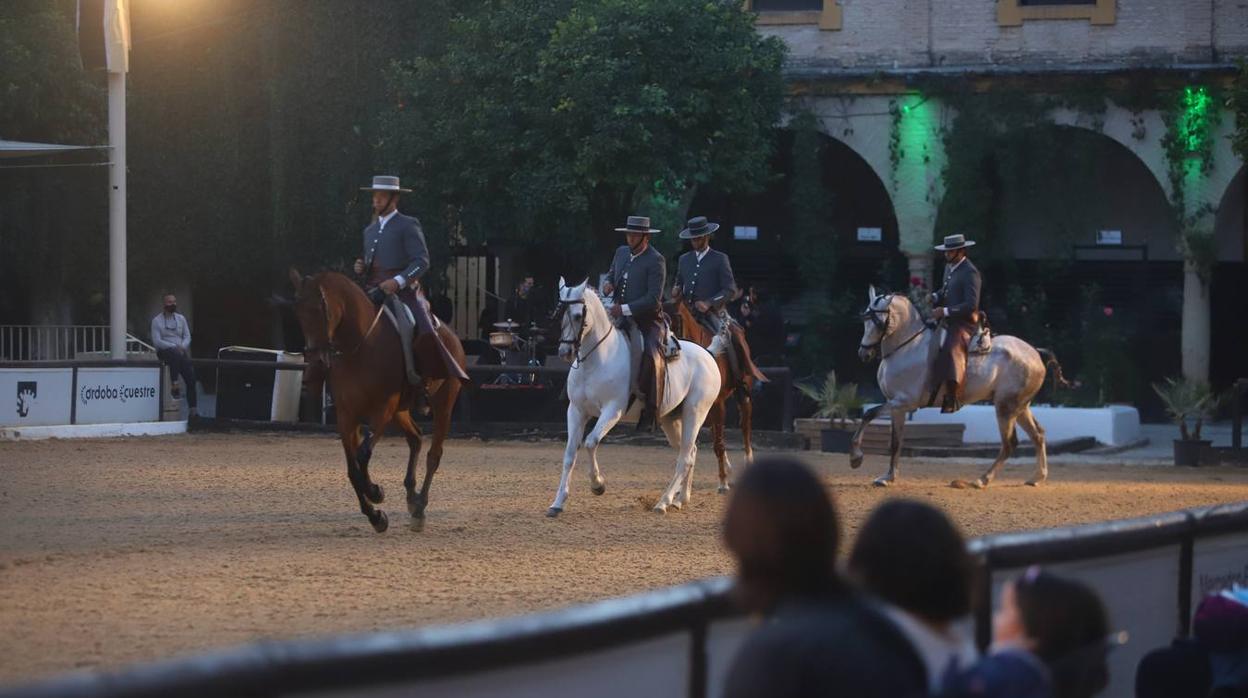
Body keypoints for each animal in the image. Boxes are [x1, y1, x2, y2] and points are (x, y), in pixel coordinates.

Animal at [289, 270, 466, 531]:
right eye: (298, 313)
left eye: (320, 310)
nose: (316, 364)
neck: (360, 346)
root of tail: (451, 336)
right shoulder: (347, 416)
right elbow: (353, 469)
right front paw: (375, 516)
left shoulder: (382, 411)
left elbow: (363, 455)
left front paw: (374, 492)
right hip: (401, 411)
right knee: (415, 439)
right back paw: (411, 498)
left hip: (443, 403)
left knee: (434, 455)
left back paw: (420, 509)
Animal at [546, 275, 723, 516]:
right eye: (559, 314)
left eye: (577, 315)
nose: (565, 352)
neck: (598, 360)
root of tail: (707, 354)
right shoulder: (576, 411)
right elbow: (569, 454)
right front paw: (557, 503)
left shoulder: (612, 410)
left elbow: (591, 442)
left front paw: (598, 485)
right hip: (671, 420)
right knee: (690, 452)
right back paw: (680, 499)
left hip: (694, 413)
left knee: (685, 457)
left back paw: (663, 502)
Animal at [668, 299, 763, 491]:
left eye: (677, 321)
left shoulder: (718, 403)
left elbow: (718, 444)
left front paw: (723, 482)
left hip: (741, 396)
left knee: (745, 427)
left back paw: (747, 462)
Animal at [858, 282, 1073, 486]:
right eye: (865, 320)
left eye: (878, 322)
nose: (863, 354)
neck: (908, 346)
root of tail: (1035, 352)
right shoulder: (897, 405)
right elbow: (883, 429)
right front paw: (886, 474)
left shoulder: (903, 403)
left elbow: (885, 431)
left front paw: (862, 462)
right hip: (1020, 406)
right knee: (1038, 434)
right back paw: (1037, 477)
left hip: (1005, 407)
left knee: (1009, 443)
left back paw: (982, 480)